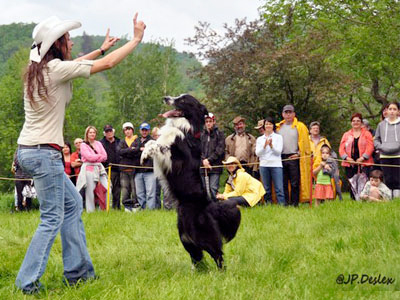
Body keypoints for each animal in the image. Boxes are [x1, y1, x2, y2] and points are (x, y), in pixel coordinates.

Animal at [141, 94, 241, 270]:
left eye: (182, 100)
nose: (165, 97)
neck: (184, 128)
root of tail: (210, 206)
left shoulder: (175, 159)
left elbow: (158, 145)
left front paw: (146, 152)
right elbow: (151, 142)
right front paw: (144, 153)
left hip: (201, 235)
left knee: (217, 253)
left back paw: (222, 273)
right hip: (185, 237)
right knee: (197, 256)